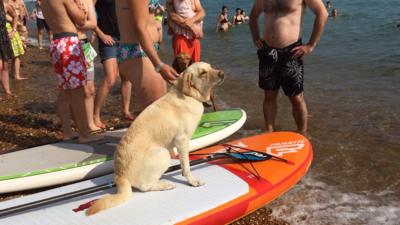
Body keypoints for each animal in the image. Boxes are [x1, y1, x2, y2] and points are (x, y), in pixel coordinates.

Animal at [86, 62, 225, 215]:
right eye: (203, 73)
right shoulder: (182, 141)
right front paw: (192, 181)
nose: (222, 73)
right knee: (145, 187)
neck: (188, 95)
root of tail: (121, 176)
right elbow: (186, 167)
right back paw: (165, 185)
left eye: (211, 67)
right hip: (162, 153)